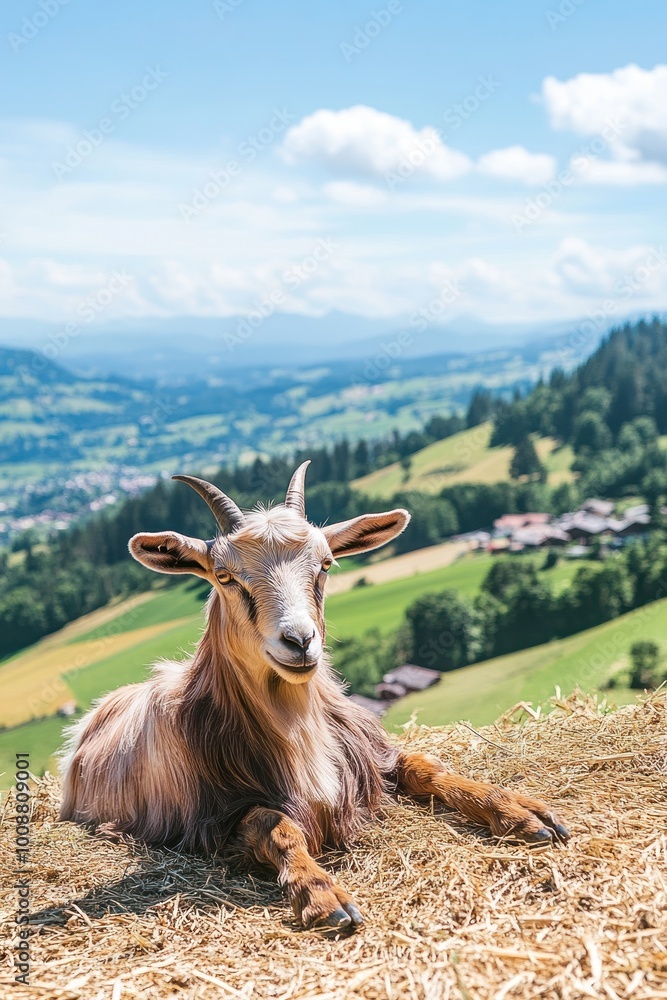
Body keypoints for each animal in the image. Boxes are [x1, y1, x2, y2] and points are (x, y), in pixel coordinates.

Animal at [60, 464, 570, 933]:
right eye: (224, 576)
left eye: (325, 564)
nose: (300, 640)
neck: (296, 721)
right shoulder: (210, 821)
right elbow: (276, 826)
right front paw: (322, 896)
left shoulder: (369, 756)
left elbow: (427, 767)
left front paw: (521, 813)